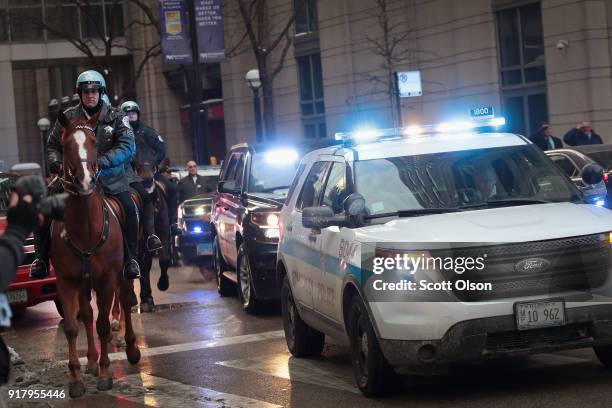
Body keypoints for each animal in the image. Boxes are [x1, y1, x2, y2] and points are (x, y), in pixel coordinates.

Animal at [50, 113, 141, 396]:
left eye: (93, 142)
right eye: (65, 144)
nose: (85, 180)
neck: (85, 228)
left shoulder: (106, 279)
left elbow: (102, 323)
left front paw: (105, 373)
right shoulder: (66, 281)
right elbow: (72, 327)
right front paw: (76, 378)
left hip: (122, 272)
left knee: (125, 300)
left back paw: (132, 349)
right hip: (83, 282)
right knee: (88, 316)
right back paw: (90, 360)